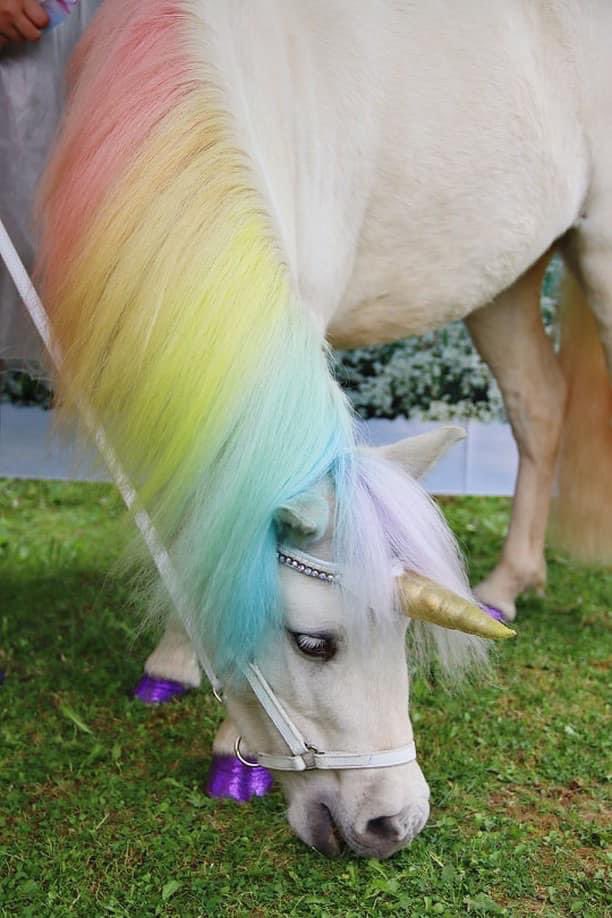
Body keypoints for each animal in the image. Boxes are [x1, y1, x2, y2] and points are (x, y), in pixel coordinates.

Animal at [36, 0, 611, 858]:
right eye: (315, 644)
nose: (394, 823)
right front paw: (173, 664)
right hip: (505, 282)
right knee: (539, 404)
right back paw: (507, 585)